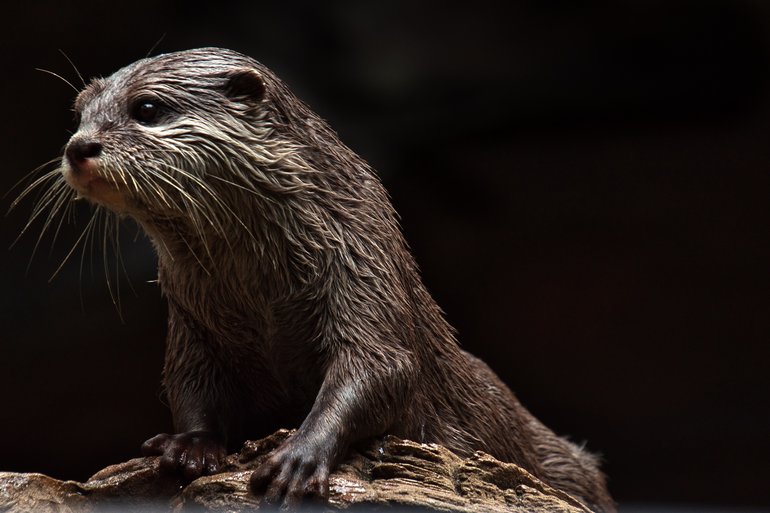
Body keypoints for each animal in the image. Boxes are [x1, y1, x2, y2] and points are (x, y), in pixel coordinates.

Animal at [49, 47, 612, 508]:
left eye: (146, 109)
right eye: (78, 114)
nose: (78, 147)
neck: (262, 292)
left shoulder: (360, 263)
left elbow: (381, 364)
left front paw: (299, 456)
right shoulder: (191, 319)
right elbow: (187, 381)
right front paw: (189, 447)